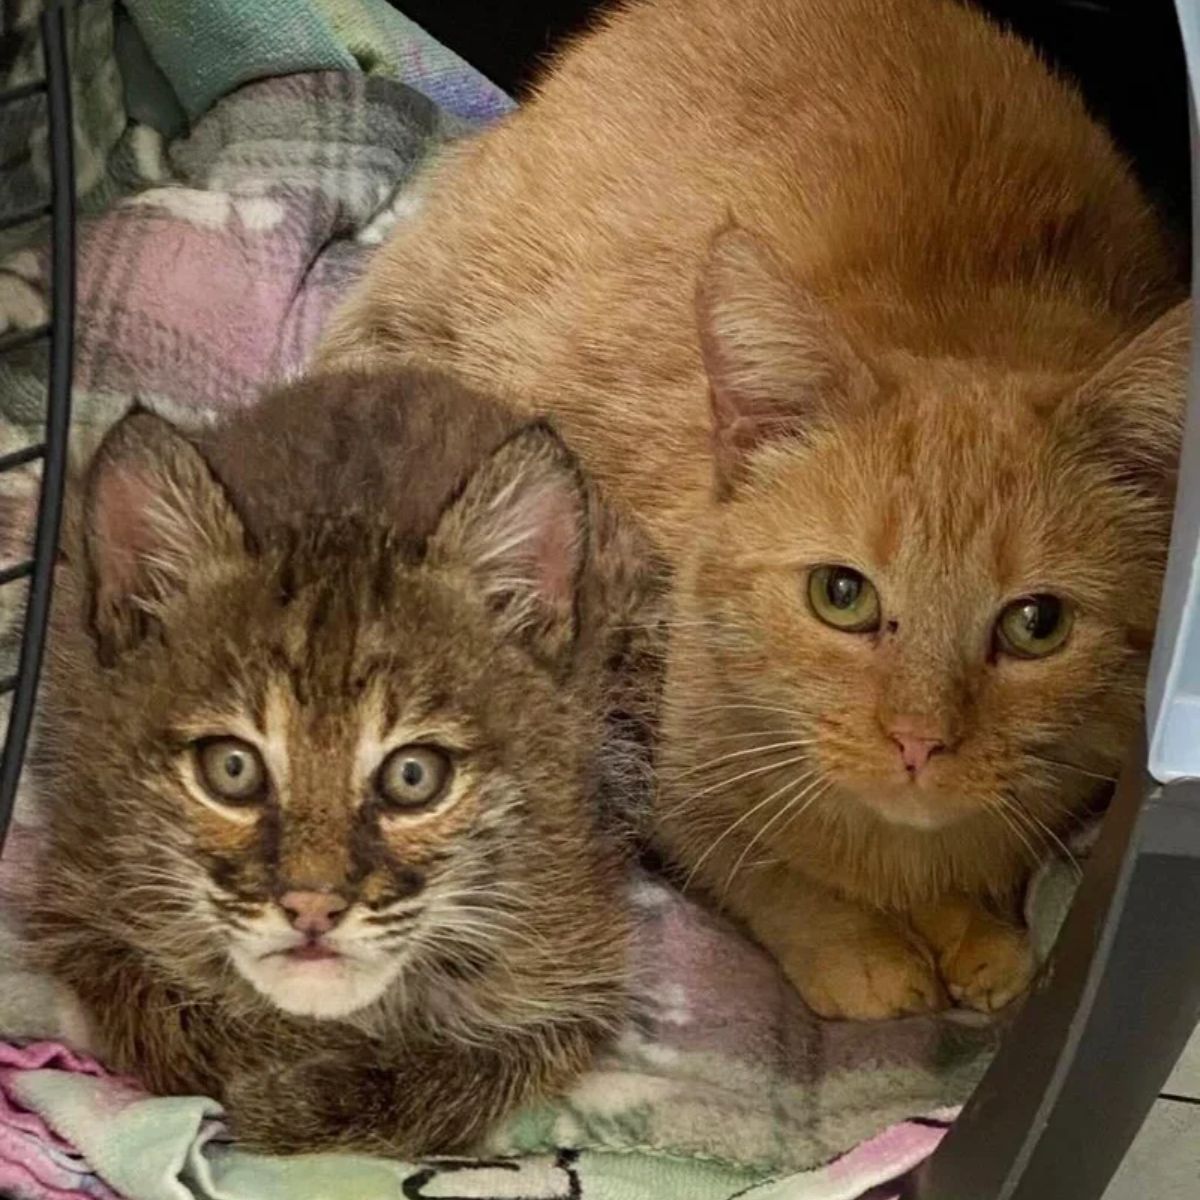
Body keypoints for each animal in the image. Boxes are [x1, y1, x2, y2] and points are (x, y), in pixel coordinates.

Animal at [25, 369, 648, 1156]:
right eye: (232, 770)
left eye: (413, 777)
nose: (313, 909)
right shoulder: (79, 904)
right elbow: (170, 1027)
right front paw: (267, 1073)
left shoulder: (580, 973)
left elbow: (462, 1077)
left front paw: (292, 1100)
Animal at [316, 0, 1190, 1017]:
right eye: (841, 595)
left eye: (1037, 623)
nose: (919, 741)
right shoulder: (623, 736)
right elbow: (746, 858)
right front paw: (856, 946)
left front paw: (982, 926)